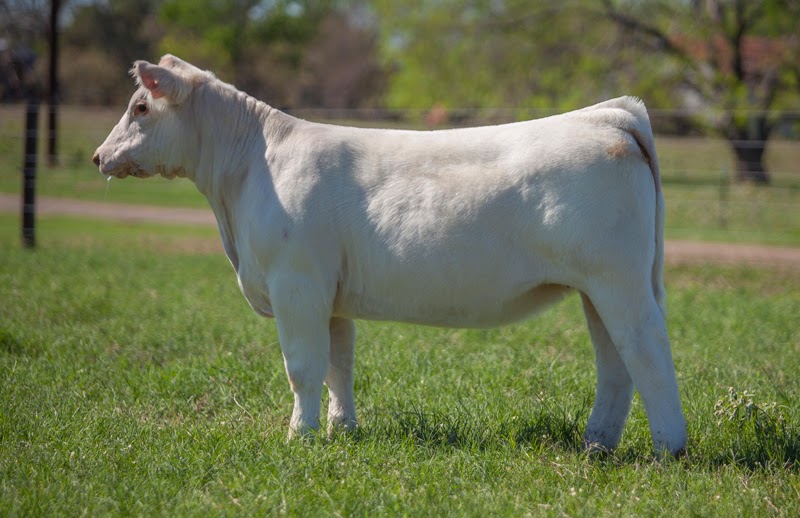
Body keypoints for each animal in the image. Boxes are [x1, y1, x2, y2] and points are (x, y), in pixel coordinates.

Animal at [93, 55, 687, 456]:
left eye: (140, 106)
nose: (99, 156)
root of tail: (605, 115)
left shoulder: (296, 284)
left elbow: (302, 367)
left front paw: (299, 437)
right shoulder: (330, 297)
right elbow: (339, 366)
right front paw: (341, 431)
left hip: (619, 283)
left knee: (649, 352)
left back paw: (668, 450)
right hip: (597, 289)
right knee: (615, 362)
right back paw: (597, 445)